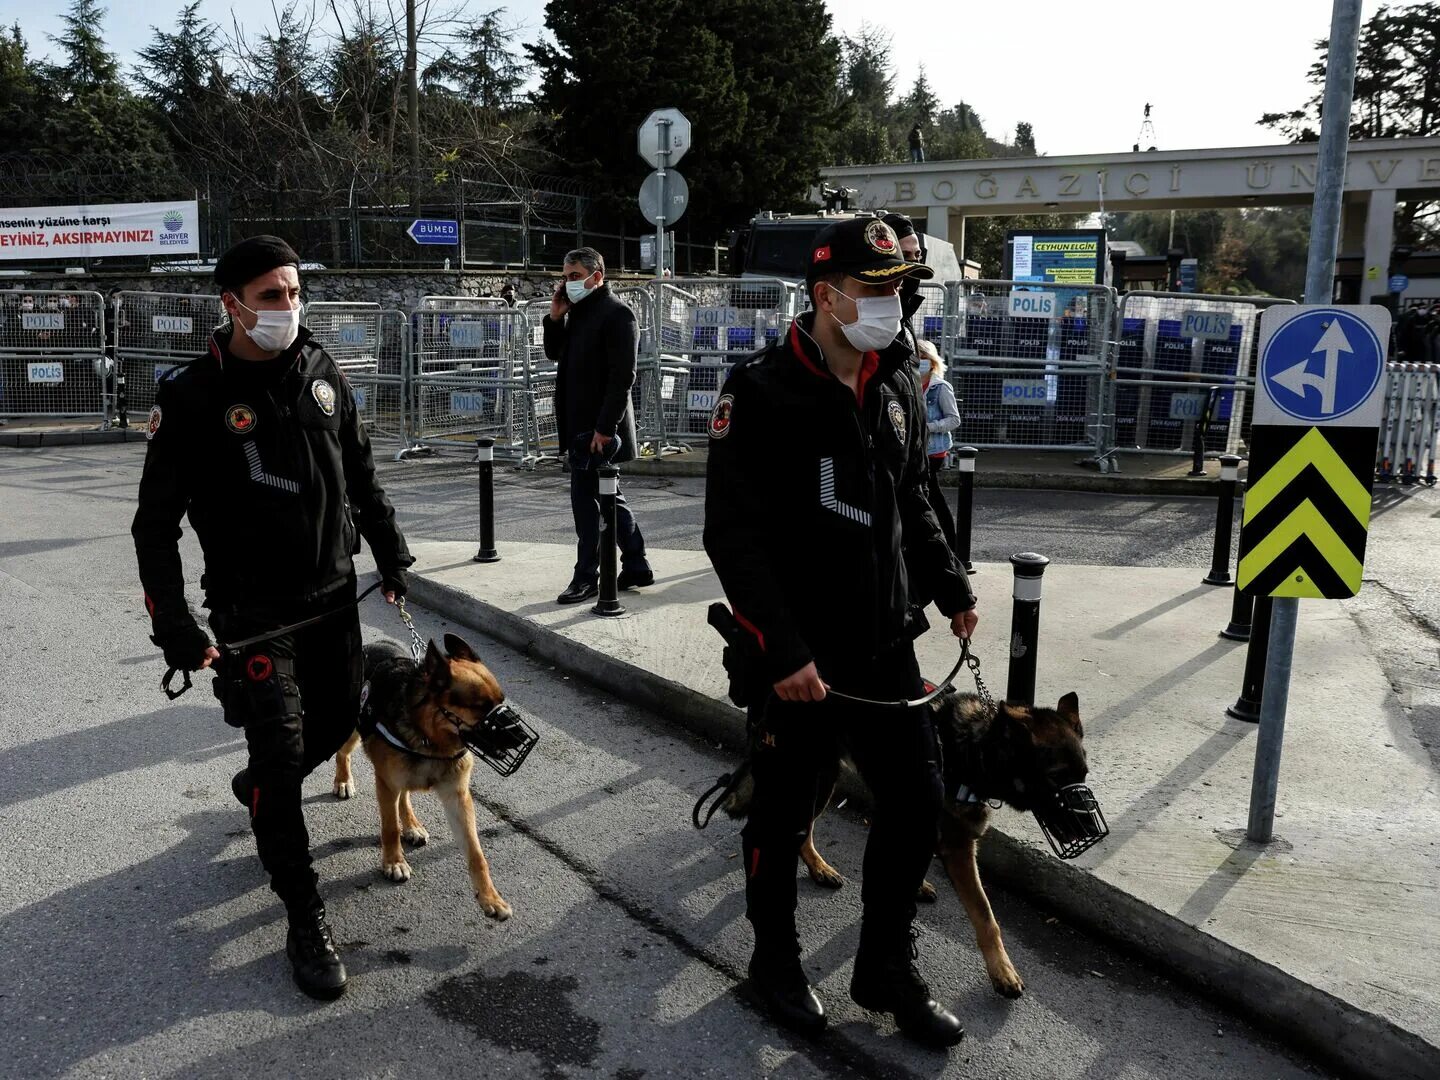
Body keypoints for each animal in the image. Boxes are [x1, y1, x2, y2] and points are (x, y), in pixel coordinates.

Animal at [334, 633, 515, 921]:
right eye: (480, 708)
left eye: (500, 701)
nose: (517, 733)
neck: (432, 739)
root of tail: (372, 645)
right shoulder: (385, 784)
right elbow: (390, 828)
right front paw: (394, 862)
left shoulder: (458, 798)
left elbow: (476, 853)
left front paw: (490, 897)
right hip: (352, 734)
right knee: (343, 754)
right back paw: (342, 780)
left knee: (404, 796)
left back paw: (412, 825)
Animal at [725, 694, 1082, 996]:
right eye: (1056, 777)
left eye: (1084, 773)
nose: (1085, 829)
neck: (977, 748)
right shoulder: (958, 849)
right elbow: (985, 916)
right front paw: (1002, 971)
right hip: (813, 778)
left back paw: (818, 868)